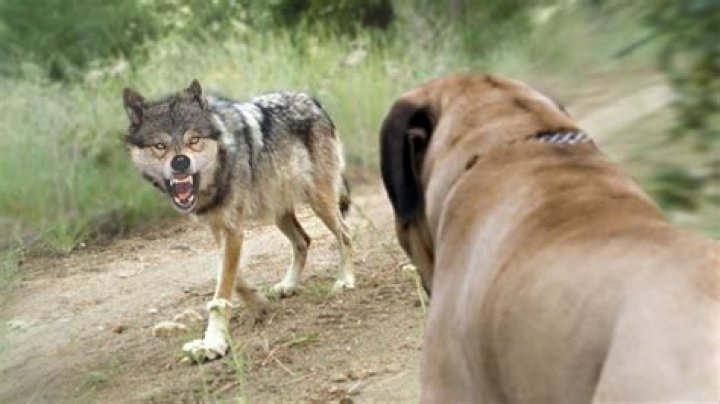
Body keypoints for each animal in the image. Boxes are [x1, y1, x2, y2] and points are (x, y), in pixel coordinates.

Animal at [122, 80, 354, 361]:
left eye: (194, 140)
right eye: (159, 146)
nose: (180, 162)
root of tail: (313, 101)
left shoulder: (233, 230)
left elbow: (223, 288)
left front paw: (213, 342)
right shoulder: (218, 228)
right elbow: (230, 276)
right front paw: (258, 303)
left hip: (320, 203)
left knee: (345, 234)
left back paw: (345, 280)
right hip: (278, 211)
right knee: (304, 241)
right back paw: (287, 285)